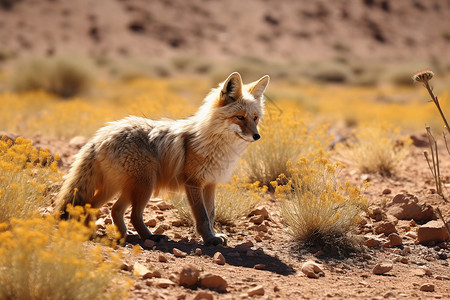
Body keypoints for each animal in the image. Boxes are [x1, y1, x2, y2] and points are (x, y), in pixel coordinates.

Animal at [55, 72, 268, 246]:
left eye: (255, 118)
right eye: (240, 117)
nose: (257, 136)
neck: (215, 144)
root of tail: (102, 135)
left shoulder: (210, 184)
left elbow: (211, 214)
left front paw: (214, 236)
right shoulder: (193, 183)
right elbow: (202, 216)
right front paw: (209, 240)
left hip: (123, 188)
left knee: (106, 209)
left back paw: (121, 234)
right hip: (143, 186)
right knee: (129, 214)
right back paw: (146, 236)